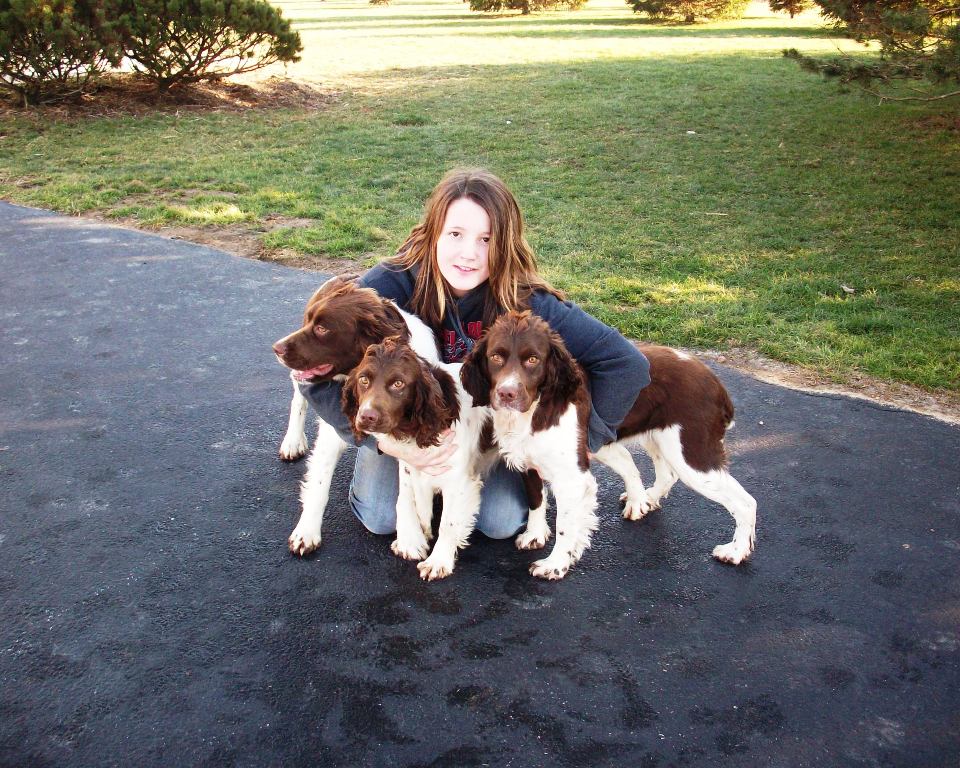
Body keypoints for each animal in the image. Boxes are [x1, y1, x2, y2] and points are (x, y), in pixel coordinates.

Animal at [342, 340, 492, 580]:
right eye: (364, 380)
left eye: (398, 383)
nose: (366, 416)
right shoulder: (413, 465)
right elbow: (413, 503)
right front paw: (414, 539)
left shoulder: (457, 479)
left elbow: (448, 523)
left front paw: (439, 560)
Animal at [460, 308, 756, 580]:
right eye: (495, 357)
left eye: (533, 359)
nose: (506, 393)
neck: (536, 410)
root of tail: (717, 384)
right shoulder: (528, 460)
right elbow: (536, 499)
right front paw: (534, 535)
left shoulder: (572, 477)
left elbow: (565, 524)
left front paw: (555, 565)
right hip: (658, 439)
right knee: (659, 471)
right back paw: (643, 500)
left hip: (692, 454)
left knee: (746, 502)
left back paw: (736, 551)